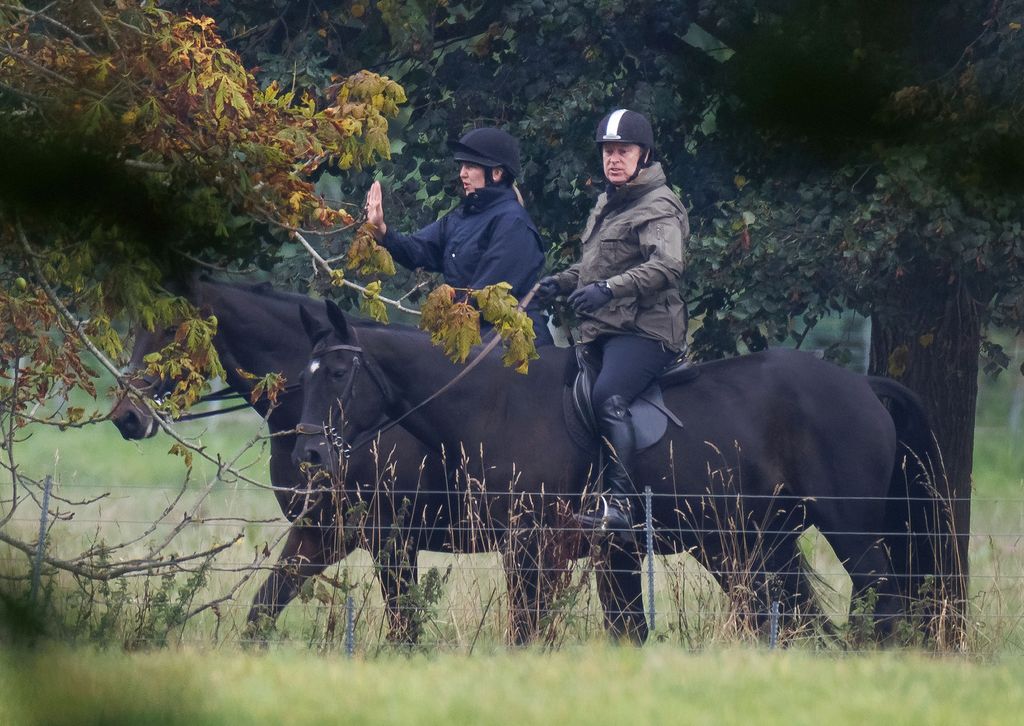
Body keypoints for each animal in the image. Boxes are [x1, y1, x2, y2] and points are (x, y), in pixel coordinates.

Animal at [107, 278, 452, 638]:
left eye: (172, 329)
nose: (126, 416)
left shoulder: (394, 541)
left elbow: (405, 628)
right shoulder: (316, 534)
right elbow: (262, 611)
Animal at [292, 299, 946, 638]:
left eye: (338, 373)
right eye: (307, 372)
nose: (310, 455)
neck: (493, 402)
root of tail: (861, 385)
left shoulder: (535, 545)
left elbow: (529, 627)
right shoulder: (598, 554)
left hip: (848, 527)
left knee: (882, 594)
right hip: (758, 540)